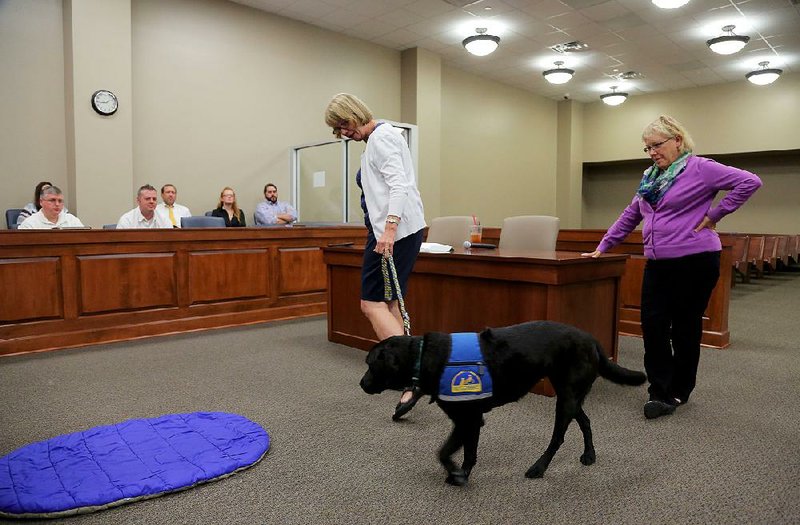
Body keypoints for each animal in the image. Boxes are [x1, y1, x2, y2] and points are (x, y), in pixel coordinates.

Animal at [360, 318, 648, 486]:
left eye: (371, 365)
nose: (361, 384)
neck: (423, 356)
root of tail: (592, 340)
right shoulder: (472, 421)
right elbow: (469, 452)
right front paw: (462, 474)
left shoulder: (467, 419)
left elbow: (443, 451)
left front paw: (456, 473)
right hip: (571, 395)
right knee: (585, 421)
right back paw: (589, 454)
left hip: (566, 398)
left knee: (558, 437)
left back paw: (538, 467)